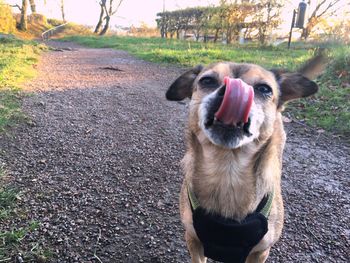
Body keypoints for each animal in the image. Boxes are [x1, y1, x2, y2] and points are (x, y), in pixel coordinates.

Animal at [165, 56, 324, 263]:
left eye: (264, 89)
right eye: (207, 81)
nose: (232, 89)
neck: (227, 171)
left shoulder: (260, 252)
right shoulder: (193, 240)